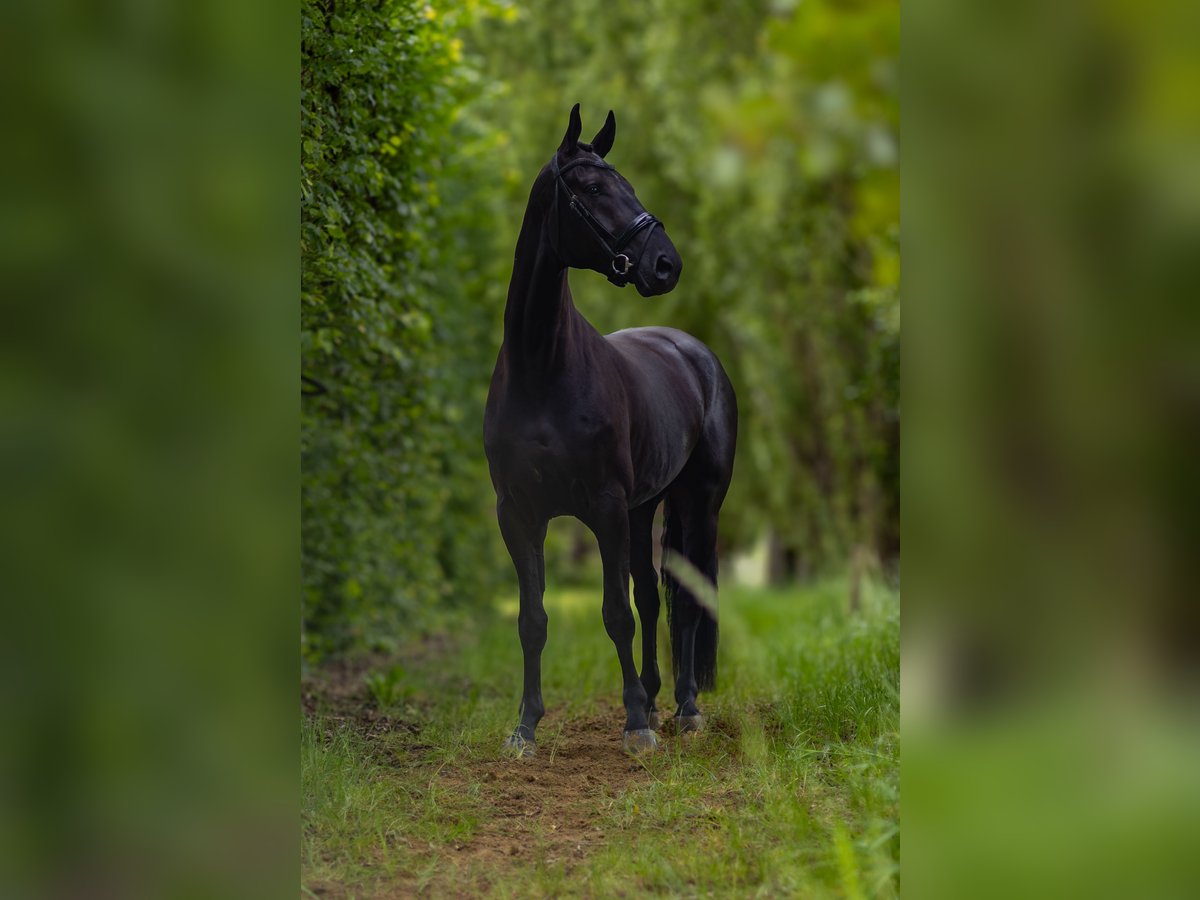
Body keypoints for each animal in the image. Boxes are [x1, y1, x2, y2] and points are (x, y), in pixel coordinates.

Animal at [482, 103, 734, 753]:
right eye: (593, 188)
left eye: (629, 185)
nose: (666, 264)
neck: (543, 368)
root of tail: (694, 353)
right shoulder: (519, 513)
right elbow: (534, 619)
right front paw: (525, 727)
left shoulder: (604, 505)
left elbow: (615, 613)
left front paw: (637, 724)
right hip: (644, 510)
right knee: (651, 596)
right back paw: (657, 694)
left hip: (697, 505)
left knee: (686, 600)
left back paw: (686, 708)